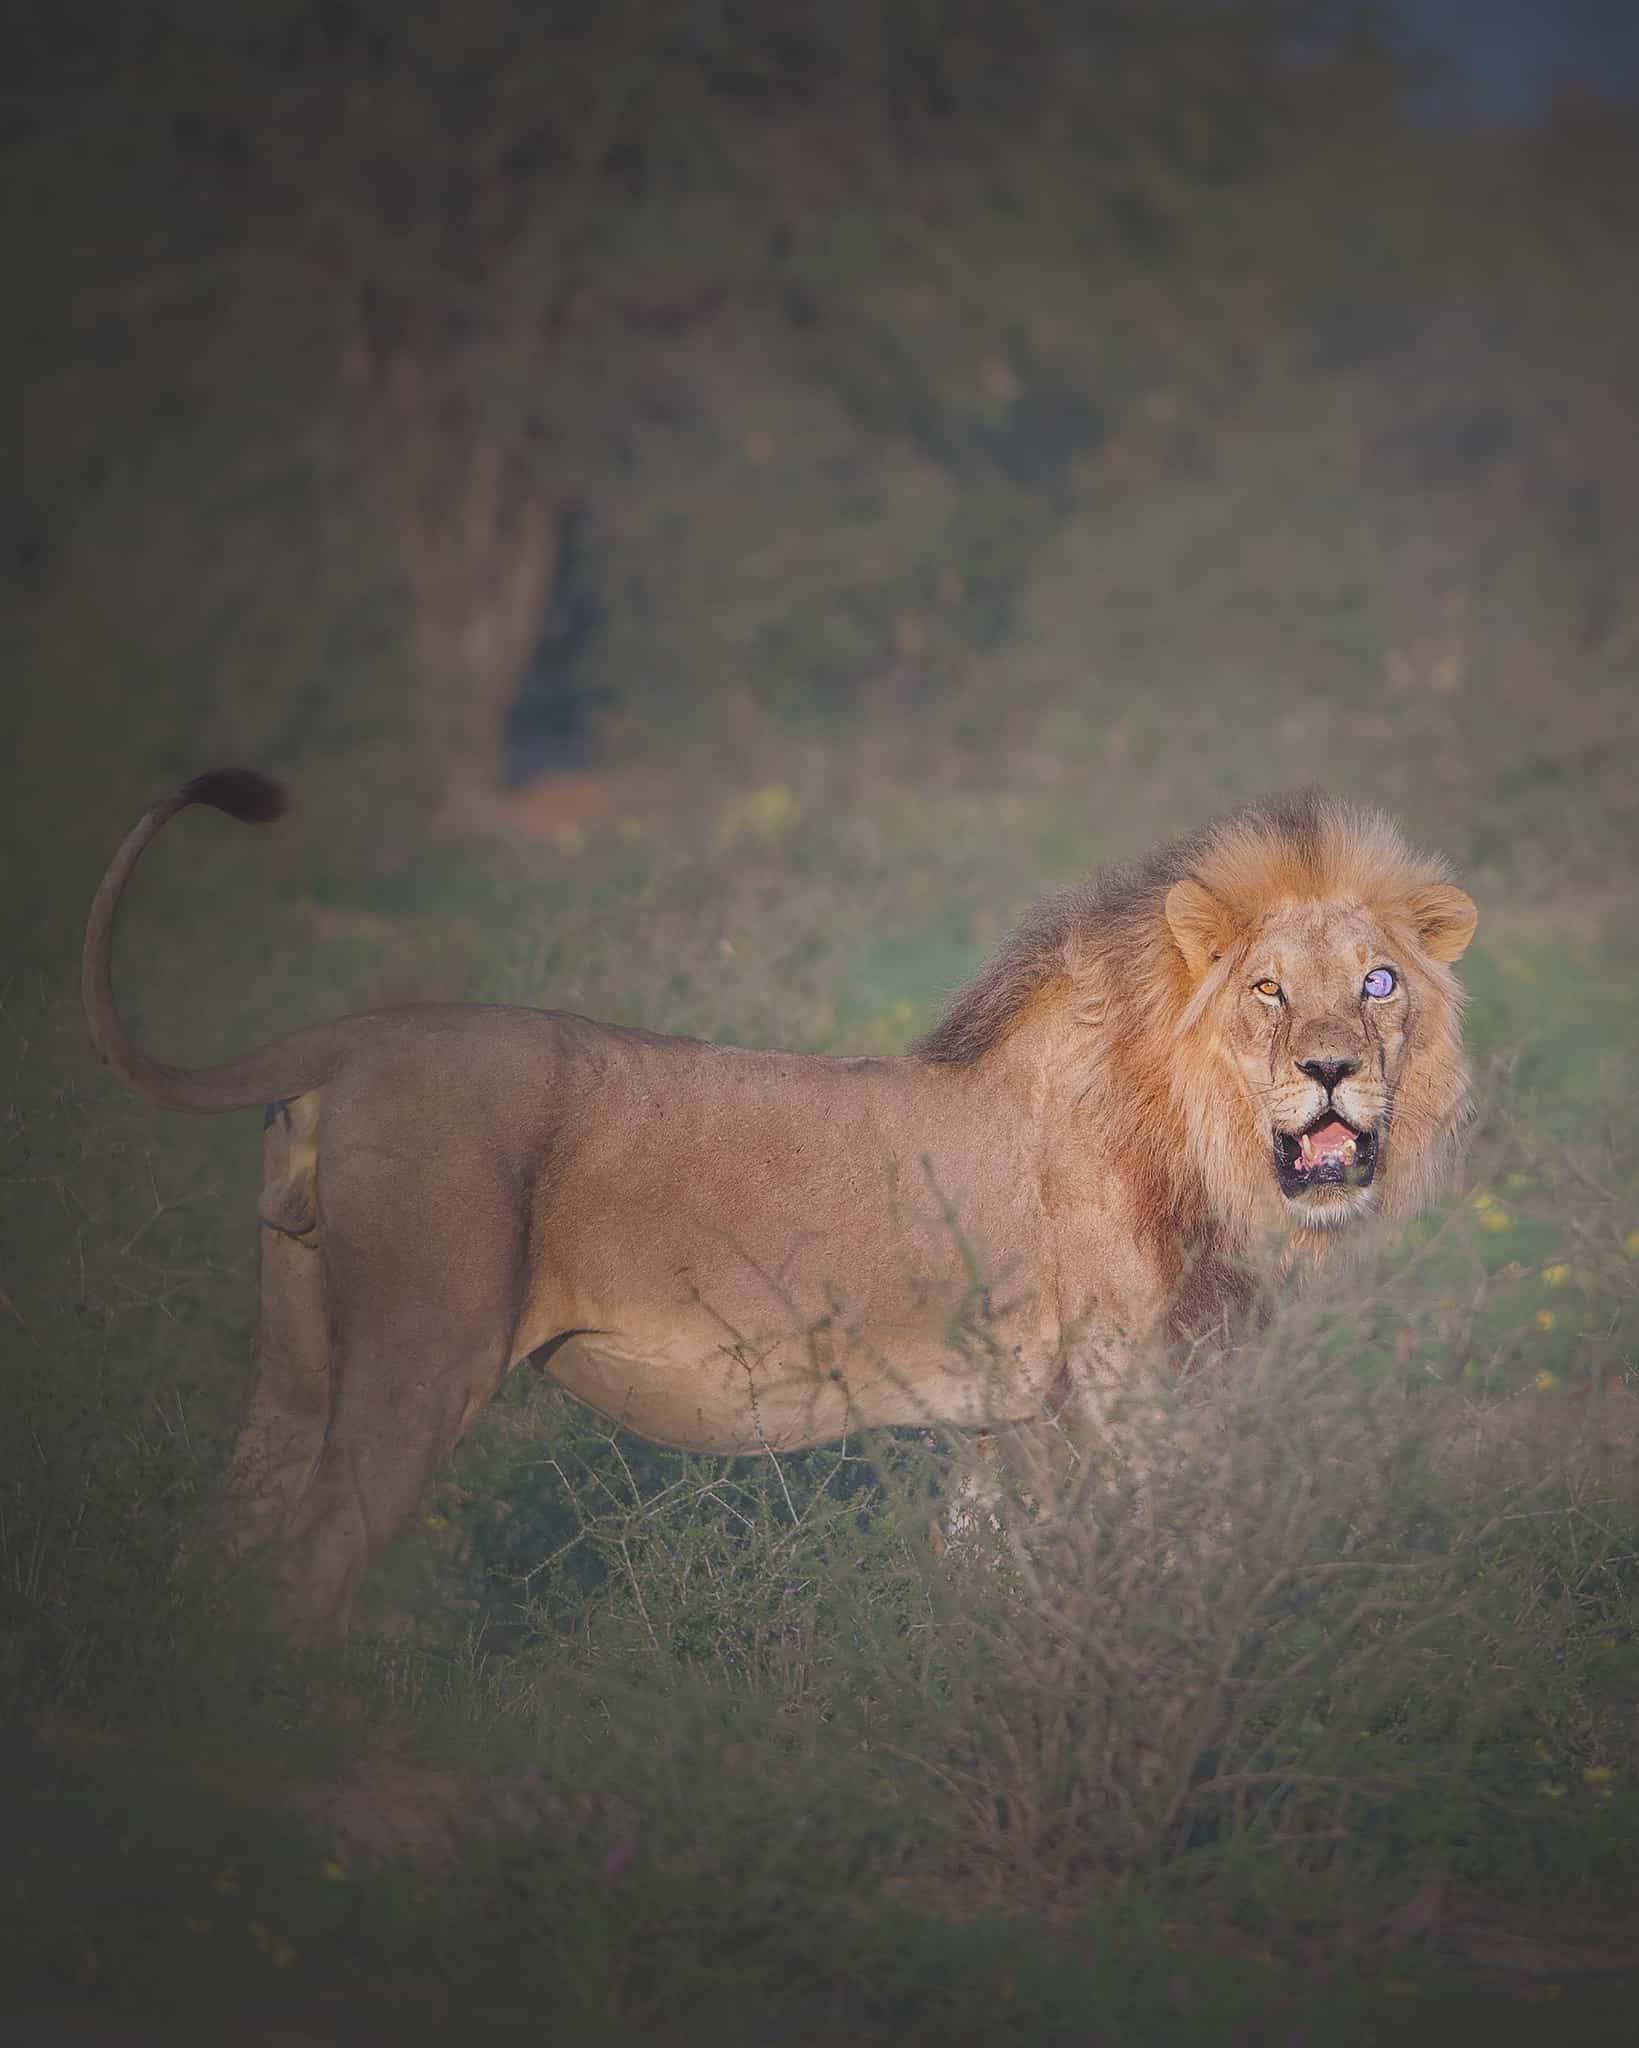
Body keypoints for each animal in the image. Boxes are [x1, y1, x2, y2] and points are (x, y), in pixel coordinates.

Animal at [82, 770, 1475, 1630]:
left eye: (1378, 982)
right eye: (1267, 989)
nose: (1331, 1068)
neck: (1183, 1118)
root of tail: (345, 1038)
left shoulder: (1004, 1413)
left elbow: (983, 1578)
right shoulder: (1126, 1397)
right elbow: (1171, 1576)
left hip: (296, 1353)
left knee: (226, 1543)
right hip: (422, 1349)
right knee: (311, 1559)